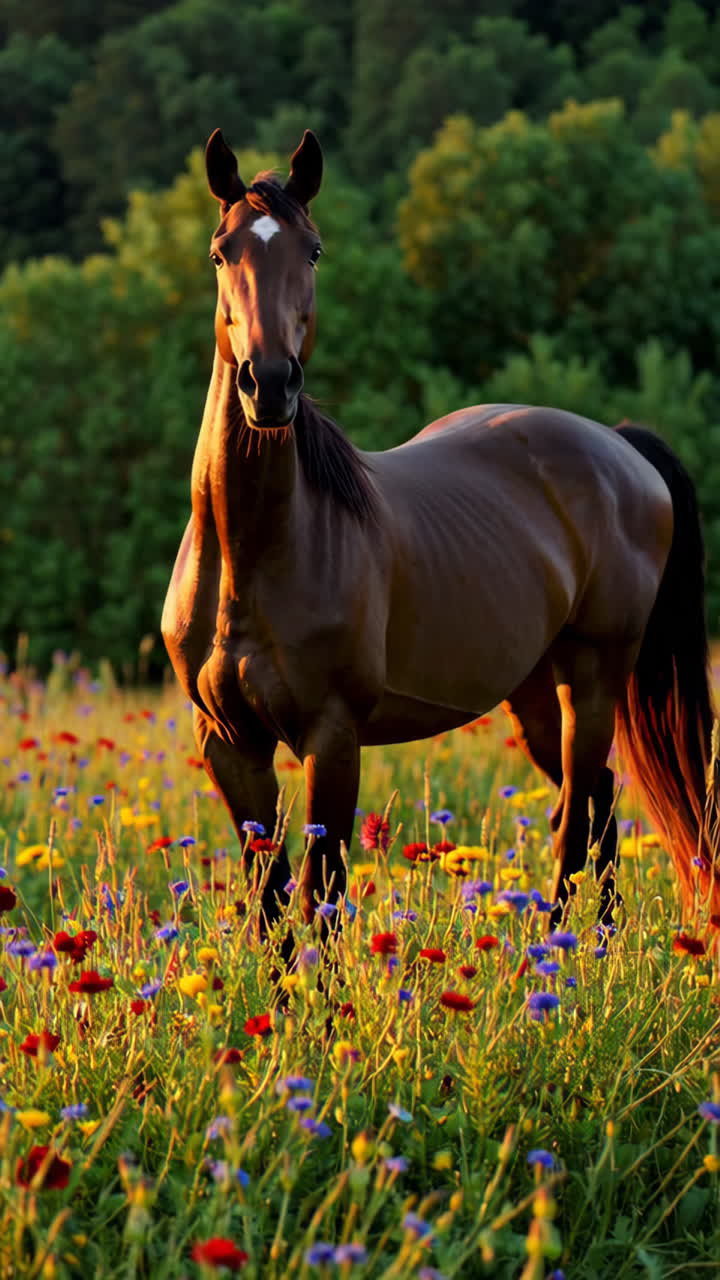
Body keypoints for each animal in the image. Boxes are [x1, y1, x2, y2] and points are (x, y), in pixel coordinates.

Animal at [162, 127, 719, 934]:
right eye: (219, 251)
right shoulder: (231, 744)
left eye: (313, 251)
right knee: (600, 800)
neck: (252, 556)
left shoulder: (333, 739)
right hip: (534, 692)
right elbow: (269, 900)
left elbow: (322, 894)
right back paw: (599, 941)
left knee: (575, 818)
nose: (269, 384)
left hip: (591, 678)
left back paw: (560, 951)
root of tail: (619, 447)